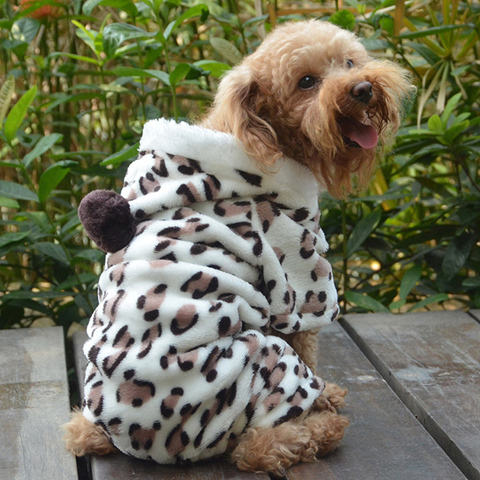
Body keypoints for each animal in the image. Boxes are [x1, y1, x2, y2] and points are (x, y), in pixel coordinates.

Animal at [62, 19, 408, 476]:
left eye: (349, 62)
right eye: (306, 82)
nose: (363, 88)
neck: (264, 142)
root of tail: (135, 441)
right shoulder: (300, 276)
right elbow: (308, 341)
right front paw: (324, 398)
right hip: (261, 357)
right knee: (255, 447)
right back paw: (321, 423)